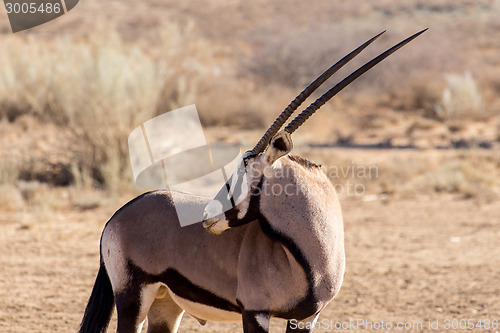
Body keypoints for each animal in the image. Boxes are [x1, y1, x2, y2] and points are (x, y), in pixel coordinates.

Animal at [79, 29, 426, 330]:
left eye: (244, 168)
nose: (206, 216)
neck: (311, 255)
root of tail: (119, 214)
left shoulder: (305, 318)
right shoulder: (255, 312)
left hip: (166, 305)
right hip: (132, 298)